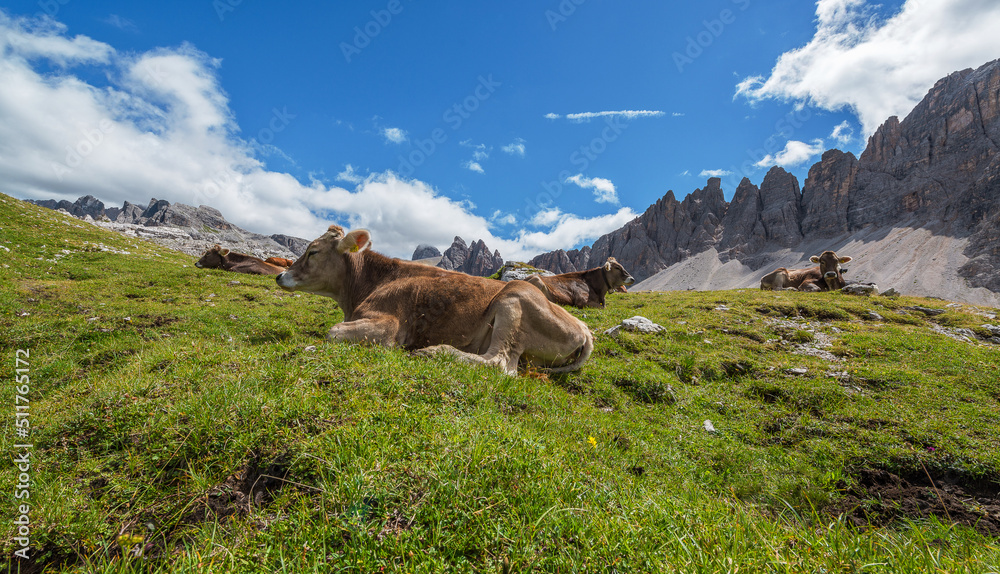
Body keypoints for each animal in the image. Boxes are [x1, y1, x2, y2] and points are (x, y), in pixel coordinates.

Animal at [275, 226, 594, 376]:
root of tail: (585, 330)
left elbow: (332, 332)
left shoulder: (390, 322)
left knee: (499, 363)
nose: (280, 276)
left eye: (313, 251)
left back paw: (434, 352)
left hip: (514, 299)